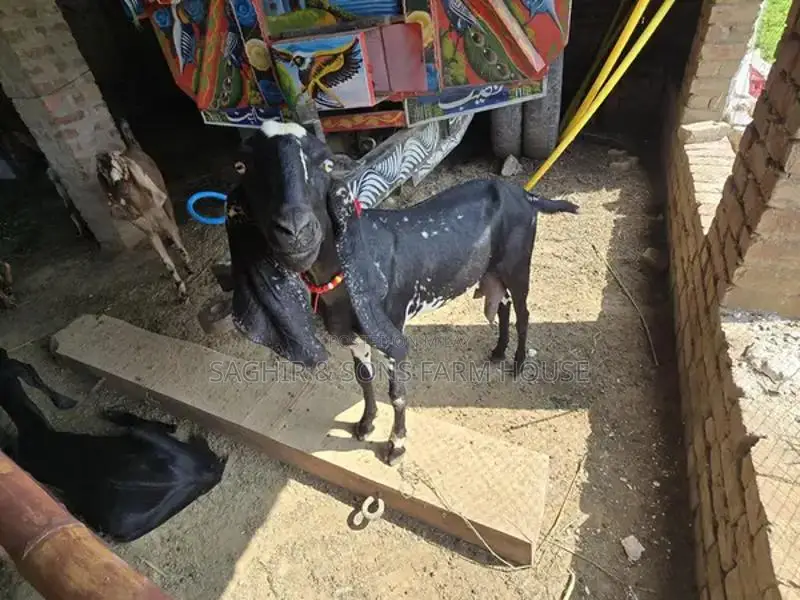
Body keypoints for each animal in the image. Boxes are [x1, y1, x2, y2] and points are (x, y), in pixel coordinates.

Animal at [96, 120, 193, 303]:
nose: (120, 188)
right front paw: (181, 289)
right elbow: (167, 263)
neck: (140, 203)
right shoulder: (148, 232)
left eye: (116, 162)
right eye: (102, 172)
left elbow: (177, 244)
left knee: (173, 224)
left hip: (165, 198)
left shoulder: (162, 218)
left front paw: (188, 265)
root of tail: (132, 147)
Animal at [224, 119, 578, 466]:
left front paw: (396, 446)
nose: (296, 231)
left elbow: (397, 394)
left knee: (523, 312)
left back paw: (518, 362)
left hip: (518, 264)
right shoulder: (352, 337)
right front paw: (365, 424)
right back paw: (498, 351)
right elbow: (364, 379)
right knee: (502, 305)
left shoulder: (392, 331)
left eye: (325, 164)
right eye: (241, 166)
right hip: (492, 270)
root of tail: (526, 195)